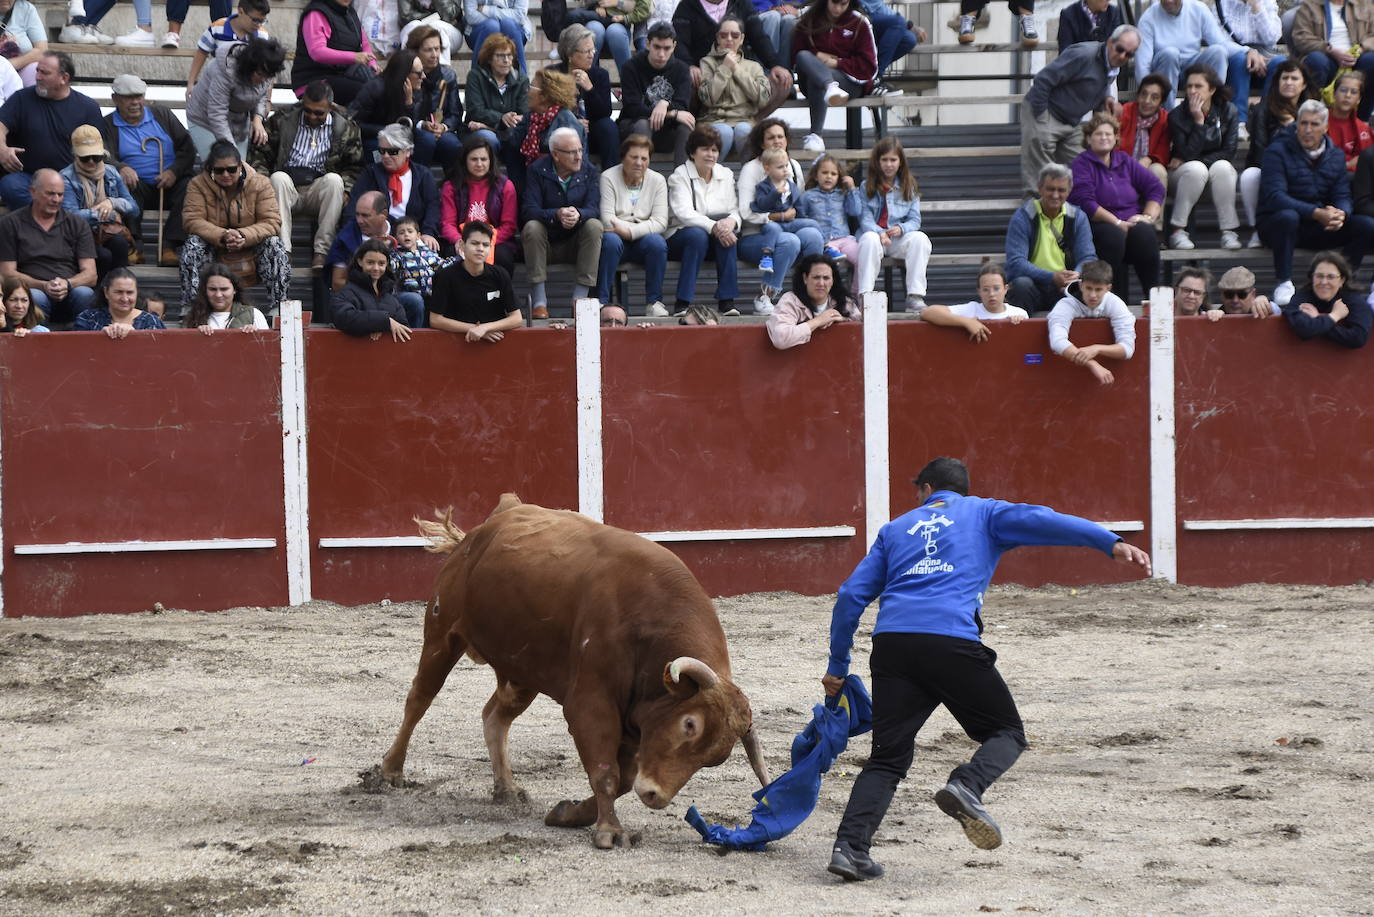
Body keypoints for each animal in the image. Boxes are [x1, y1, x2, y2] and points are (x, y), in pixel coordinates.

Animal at [381, 497, 774, 852]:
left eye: (715, 758)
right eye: (689, 724)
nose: (655, 795)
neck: (651, 622)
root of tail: (491, 522)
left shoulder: (637, 722)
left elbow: (623, 778)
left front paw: (568, 813)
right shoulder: (591, 702)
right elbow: (606, 771)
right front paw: (609, 831)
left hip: (523, 672)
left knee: (495, 715)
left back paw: (506, 788)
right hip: (442, 634)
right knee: (419, 699)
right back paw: (390, 771)